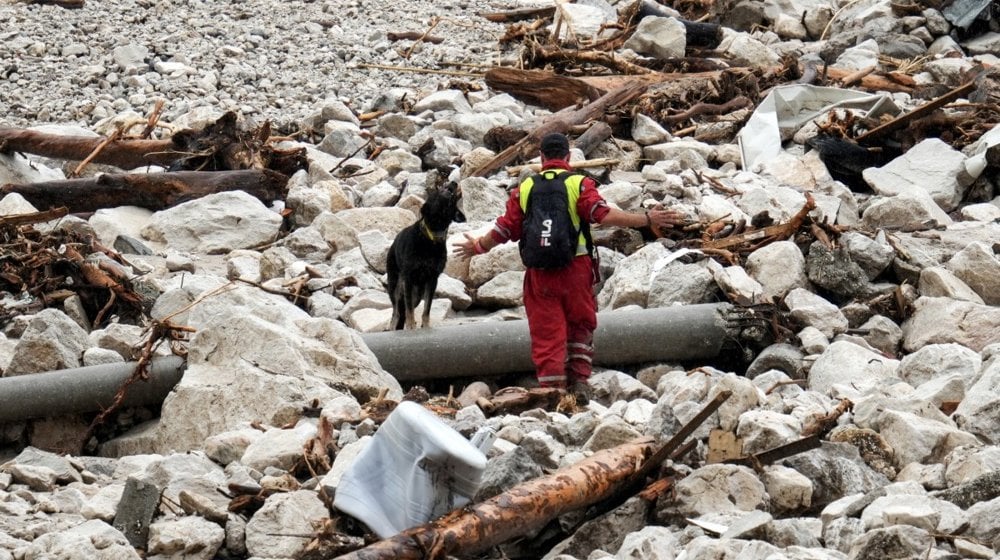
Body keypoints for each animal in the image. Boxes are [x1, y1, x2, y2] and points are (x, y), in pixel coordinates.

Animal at [386, 182, 464, 330]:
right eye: (437, 191)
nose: (454, 182)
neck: (432, 237)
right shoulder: (408, 277)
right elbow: (409, 308)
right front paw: (411, 326)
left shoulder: (433, 279)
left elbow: (427, 308)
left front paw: (425, 326)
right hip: (395, 285)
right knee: (396, 311)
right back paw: (393, 327)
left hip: (417, 293)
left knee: (405, 308)